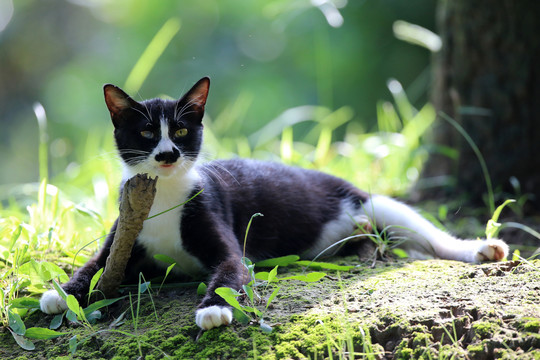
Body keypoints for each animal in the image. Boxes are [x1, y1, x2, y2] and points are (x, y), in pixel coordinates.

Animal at [40, 77, 508, 330]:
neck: (166, 199)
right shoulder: (126, 230)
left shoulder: (218, 225)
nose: (168, 154)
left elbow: (229, 269)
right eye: (145, 134)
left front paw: (214, 310)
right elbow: (94, 266)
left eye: (182, 131)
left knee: (427, 232)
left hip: (370, 201)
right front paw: (60, 294)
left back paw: (481, 249)